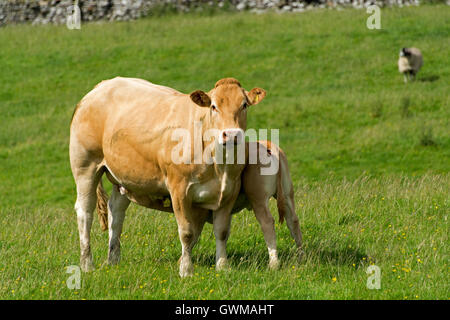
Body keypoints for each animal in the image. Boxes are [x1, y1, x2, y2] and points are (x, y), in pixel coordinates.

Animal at [70, 76, 266, 276]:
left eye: (244, 105)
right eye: (213, 106)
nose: (232, 135)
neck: (218, 164)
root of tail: (101, 86)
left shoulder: (229, 192)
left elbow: (222, 231)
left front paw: (222, 267)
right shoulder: (179, 189)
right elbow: (186, 233)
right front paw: (186, 270)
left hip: (125, 176)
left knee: (116, 212)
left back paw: (113, 260)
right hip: (85, 165)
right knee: (85, 211)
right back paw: (87, 264)